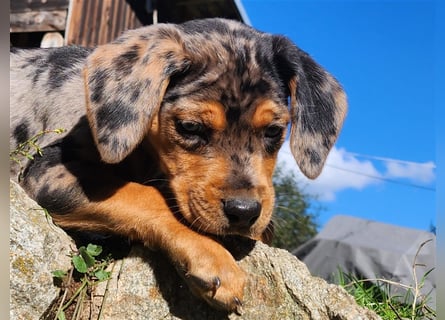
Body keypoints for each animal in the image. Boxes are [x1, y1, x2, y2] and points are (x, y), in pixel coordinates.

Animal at [8, 18, 346, 314]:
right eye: (190, 127)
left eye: (274, 131)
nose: (244, 212)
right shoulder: (48, 170)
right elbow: (145, 196)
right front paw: (214, 258)